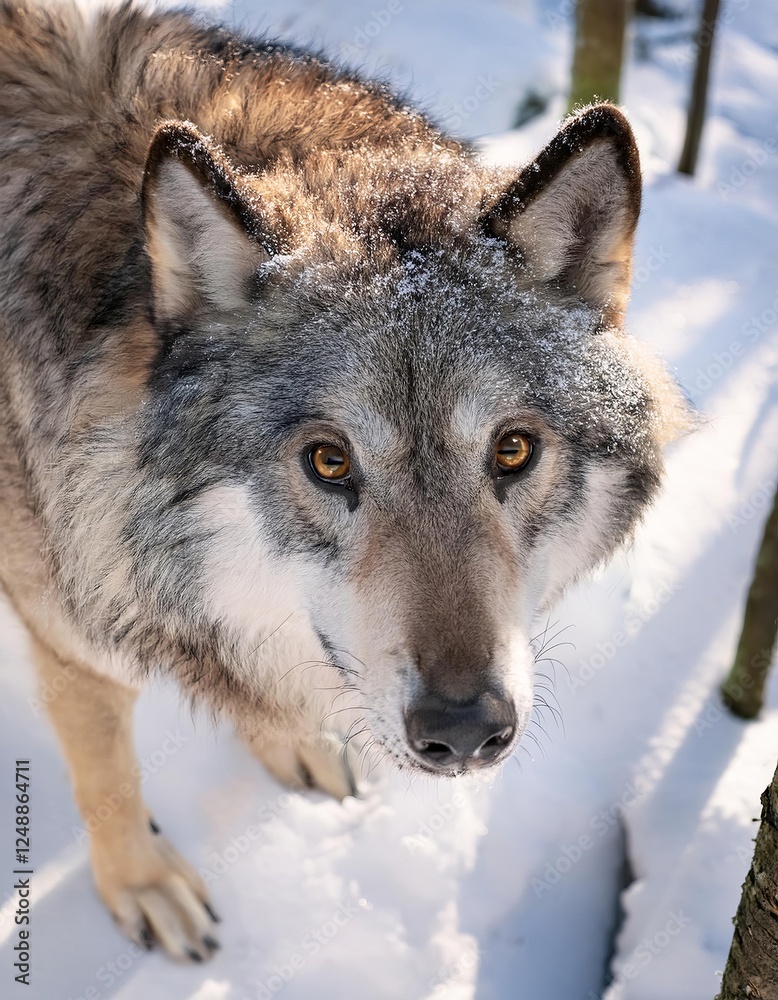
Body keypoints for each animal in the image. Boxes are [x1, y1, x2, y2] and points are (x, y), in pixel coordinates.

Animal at [0, 0, 689, 962]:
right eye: (330, 461)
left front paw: (290, 740)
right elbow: (108, 774)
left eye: (513, 451)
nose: (464, 731)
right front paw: (141, 885)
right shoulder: (67, 641)